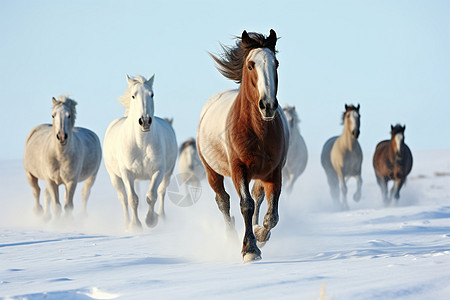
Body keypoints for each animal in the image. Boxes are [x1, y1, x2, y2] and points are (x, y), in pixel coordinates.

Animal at [103, 75, 178, 230]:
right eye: (133, 96)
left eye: (152, 94)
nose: (145, 121)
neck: (141, 144)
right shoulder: (127, 174)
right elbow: (132, 199)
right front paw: (135, 225)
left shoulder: (158, 171)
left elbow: (152, 196)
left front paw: (151, 220)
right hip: (115, 177)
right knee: (123, 198)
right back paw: (126, 223)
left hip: (167, 173)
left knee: (161, 192)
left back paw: (162, 217)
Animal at [196, 29, 288, 262]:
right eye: (250, 65)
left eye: (276, 63)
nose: (267, 105)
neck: (257, 130)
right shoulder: (239, 169)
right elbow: (245, 205)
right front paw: (250, 249)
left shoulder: (274, 172)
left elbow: (272, 215)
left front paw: (260, 235)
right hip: (212, 172)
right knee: (224, 201)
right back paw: (230, 236)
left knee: (258, 197)